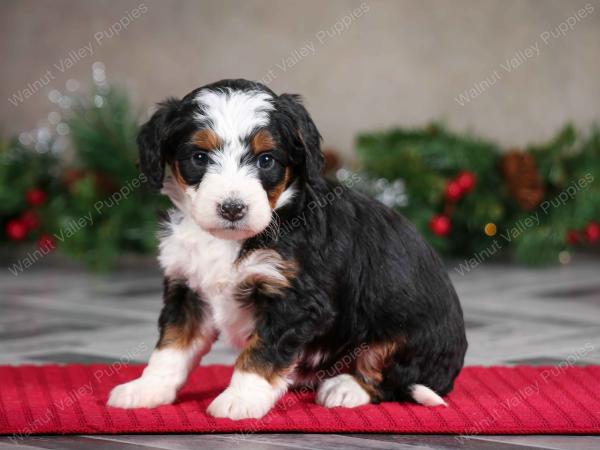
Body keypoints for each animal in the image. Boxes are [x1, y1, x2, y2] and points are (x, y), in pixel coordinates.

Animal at [106, 79, 468, 420]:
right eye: (199, 157)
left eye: (266, 160)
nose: (232, 208)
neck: (230, 240)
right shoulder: (187, 291)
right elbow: (171, 348)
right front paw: (147, 389)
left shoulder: (295, 300)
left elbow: (261, 351)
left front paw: (240, 399)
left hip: (407, 334)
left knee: (389, 373)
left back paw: (344, 387)